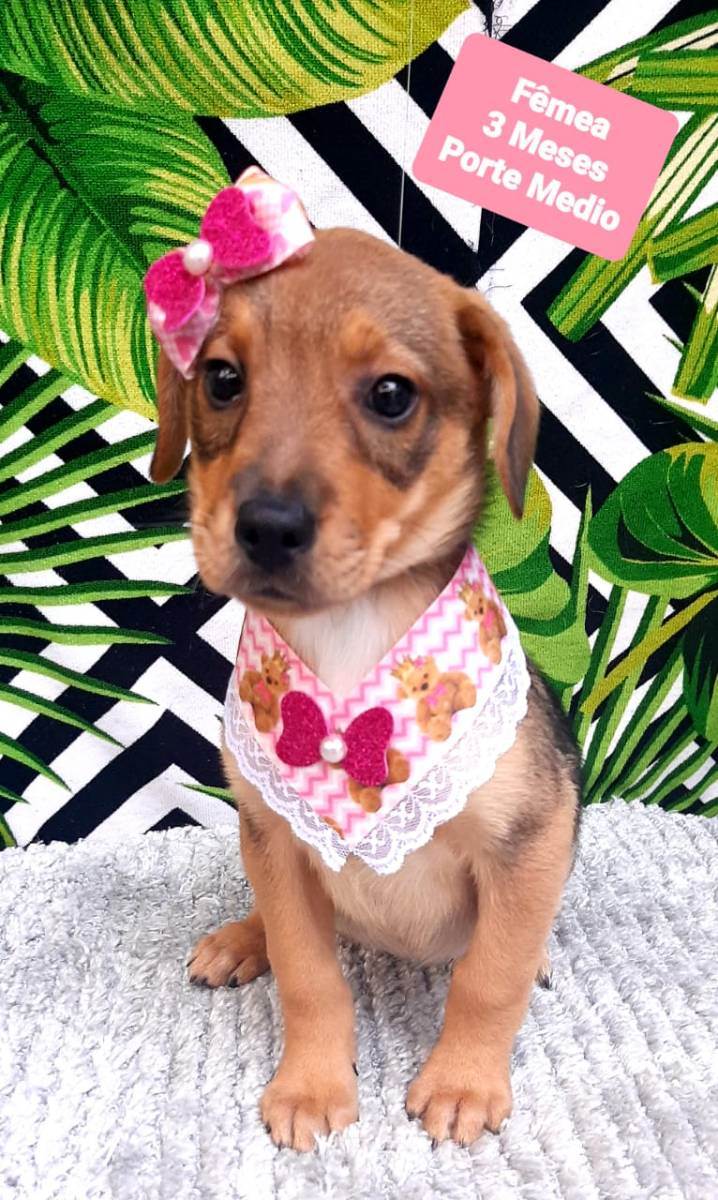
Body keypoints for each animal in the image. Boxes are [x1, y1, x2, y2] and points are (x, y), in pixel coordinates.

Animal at [149, 224, 581, 1151]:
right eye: (223, 379)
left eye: (391, 395)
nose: (267, 526)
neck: (351, 640)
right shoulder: (276, 843)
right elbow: (309, 978)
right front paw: (311, 1086)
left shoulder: (527, 842)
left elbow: (489, 978)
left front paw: (463, 1082)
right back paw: (241, 941)